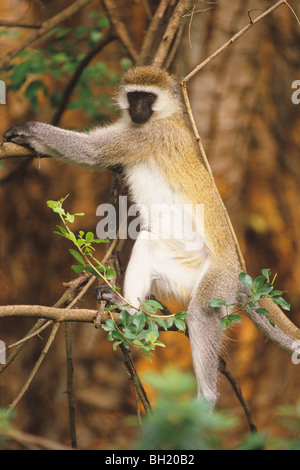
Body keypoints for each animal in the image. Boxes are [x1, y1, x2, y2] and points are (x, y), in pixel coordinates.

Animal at [2, 65, 300, 404]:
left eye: (149, 97)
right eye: (134, 97)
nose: (138, 110)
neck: (161, 117)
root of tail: (238, 273)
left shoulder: (147, 135)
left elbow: (92, 152)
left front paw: (29, 130)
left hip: (217, 282)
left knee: (201, 314)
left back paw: (206, 398)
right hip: (185, 275)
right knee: (146, 242)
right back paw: (127, 308)